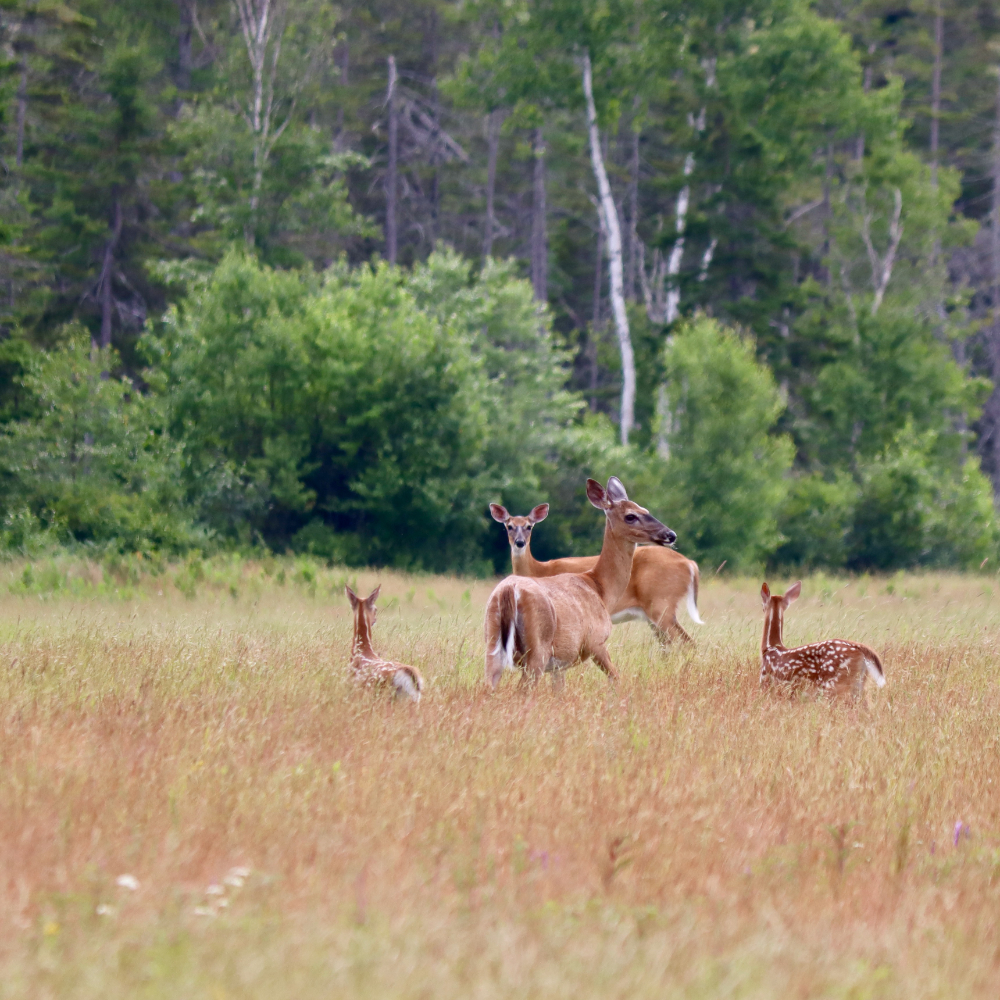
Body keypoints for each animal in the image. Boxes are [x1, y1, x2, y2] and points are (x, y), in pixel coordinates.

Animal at [482, 476, 676, 688]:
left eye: (645, 510)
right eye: (630, 516)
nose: (670, 534)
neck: (600, 588)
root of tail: (509, 591)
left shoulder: (560, 664)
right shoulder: (596, 641)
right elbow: (616, 678)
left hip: (493, 644)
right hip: (537, 649)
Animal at [492, 500, 704, 648]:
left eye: (529, 526)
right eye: (508, 526)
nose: (519, 543)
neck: (538, 570)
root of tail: (690, 564)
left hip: (662, 604)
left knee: (687, 643)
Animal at [760, 584, 888, 700]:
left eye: (762, 605)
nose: (762, 608)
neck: (771, 647)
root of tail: (860, 648)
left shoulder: (766, 682)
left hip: (835, 684)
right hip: (859, 683)